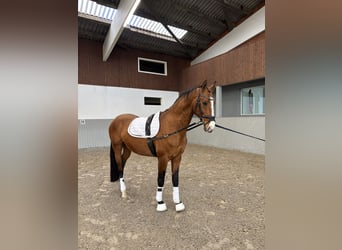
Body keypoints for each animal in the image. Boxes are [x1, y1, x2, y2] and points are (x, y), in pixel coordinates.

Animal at [109, 81, 216, 212]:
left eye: (213, 102)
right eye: (204, 102)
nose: (211, 126)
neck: (172, 125)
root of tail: (115, 120)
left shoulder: (177, 157)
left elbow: (175, 179)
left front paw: (178, 203)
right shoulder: (162, 158)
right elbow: (160, 179)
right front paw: (160, 203)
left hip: (128, 149)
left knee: (122, 166)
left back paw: (122, 189)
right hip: (117, 147)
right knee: (119, 166)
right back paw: (124, 192)